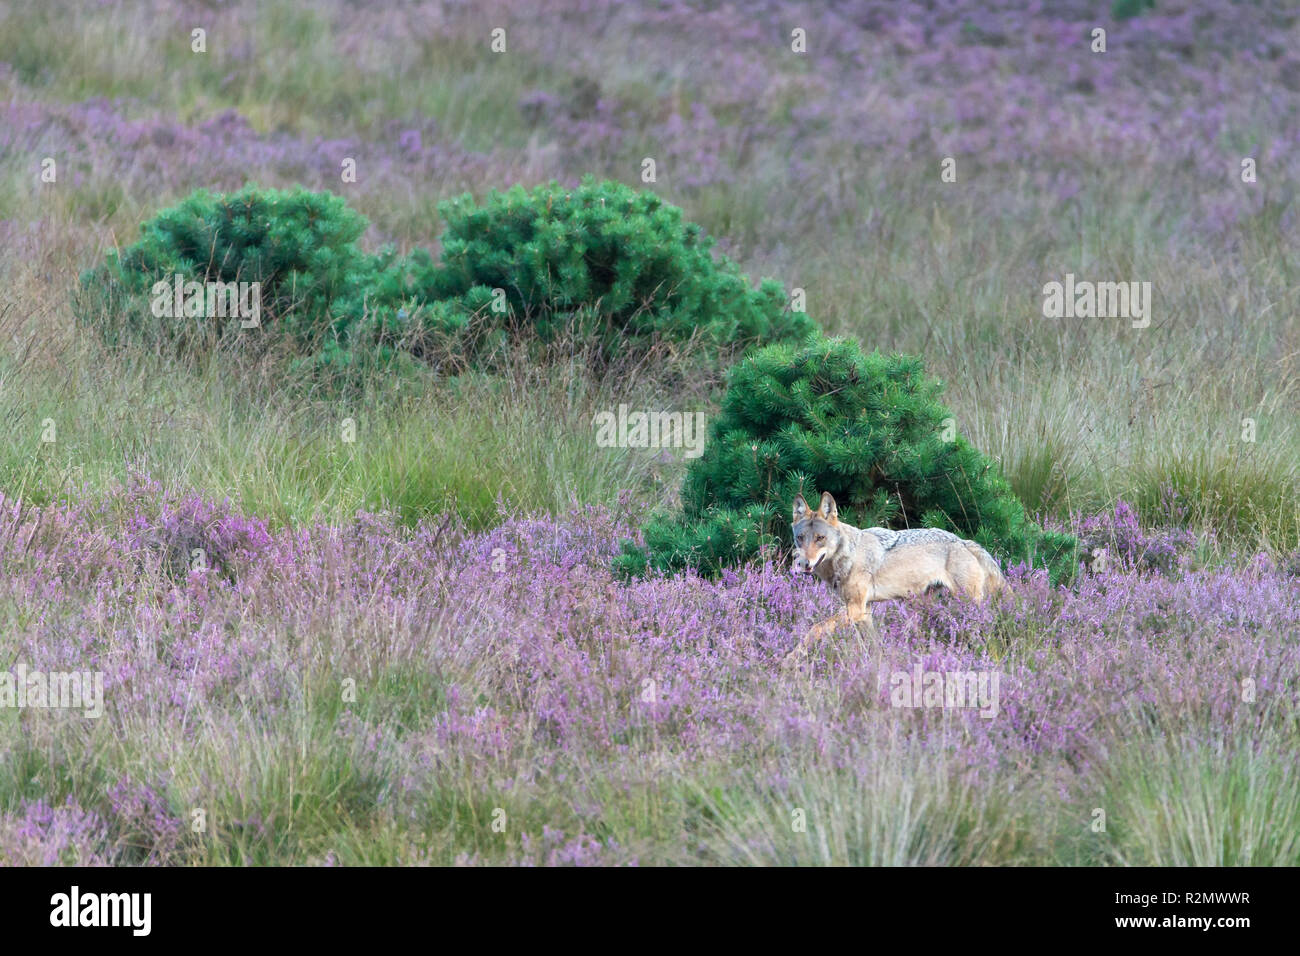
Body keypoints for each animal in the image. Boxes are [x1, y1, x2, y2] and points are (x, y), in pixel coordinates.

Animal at [780, 494, 1003, 665]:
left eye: (820, 538)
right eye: (800, 538)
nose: (804, 564)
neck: (849, 555)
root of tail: (964, 542)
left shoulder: (855, 608)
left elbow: (815, 629)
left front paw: (790, 658)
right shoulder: (864, 611)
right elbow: (874, 645)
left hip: (968, 606)